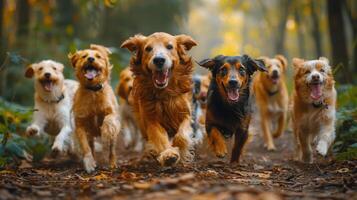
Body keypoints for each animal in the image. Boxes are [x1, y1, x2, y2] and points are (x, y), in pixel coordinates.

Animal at [68, 44, 119, 173]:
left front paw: (106, 130)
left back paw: (112, 163)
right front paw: (89, 163)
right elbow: (85, 147)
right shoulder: (80, 124)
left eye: (98, 56)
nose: (90, 59)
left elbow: (109, 119)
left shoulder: (112, 112)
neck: (93, 91)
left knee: (112, 150)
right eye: (84, 56)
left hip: (113, 138)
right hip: (90, 134)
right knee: (91, 146)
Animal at [121, 32, 196, 166]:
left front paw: (180, 151)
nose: (159, 60)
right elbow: (159, 137)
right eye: (148, 48)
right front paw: (169, 154)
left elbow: (181, 136)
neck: (164, 93)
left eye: (170, 47)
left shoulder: (185, 113)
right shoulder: (150, 119)